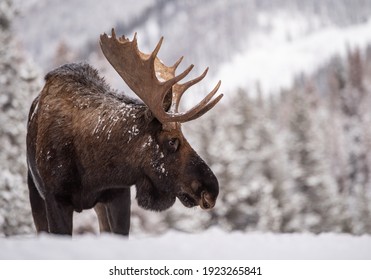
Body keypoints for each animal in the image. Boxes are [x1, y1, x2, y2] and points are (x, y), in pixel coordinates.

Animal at [27, 29, 224, 235]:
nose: (211, 190)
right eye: (172, 140)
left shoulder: (119, 194)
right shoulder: (56, 198)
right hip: (34, 191)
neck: (93, 171)